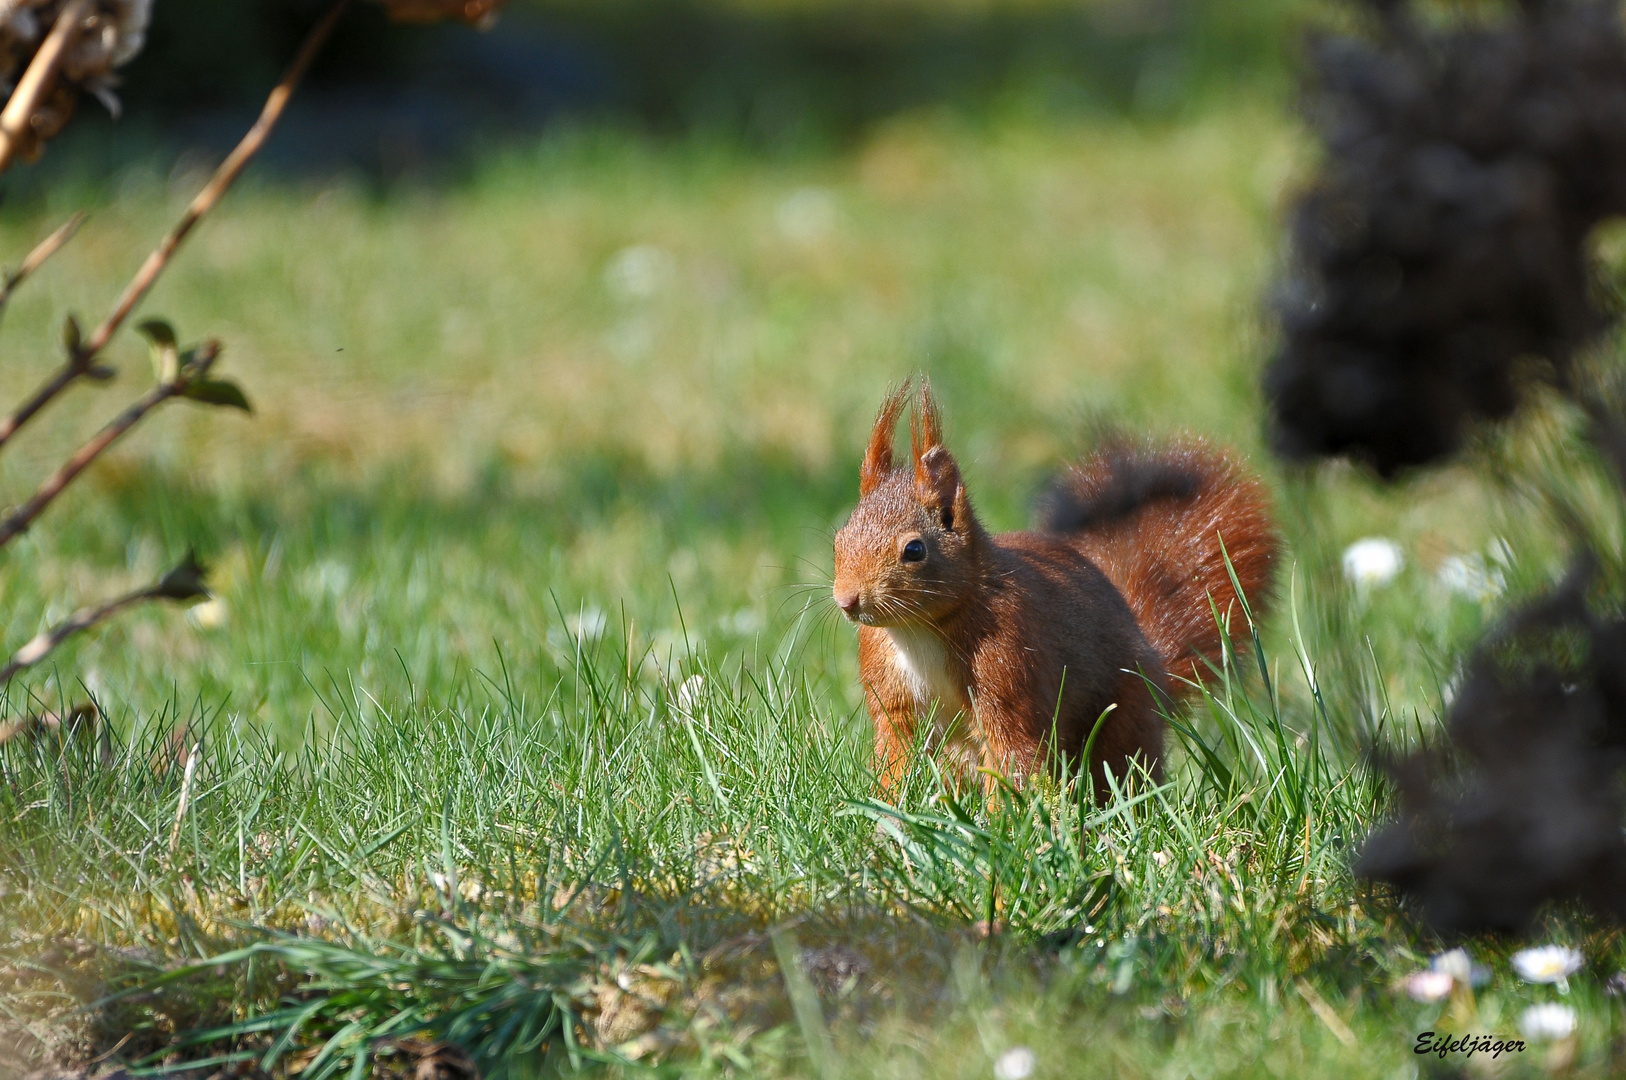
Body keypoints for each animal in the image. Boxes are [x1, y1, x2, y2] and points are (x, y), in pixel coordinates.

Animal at [832, 378, 1274, 793]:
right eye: (839, 538)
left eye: (914, 549)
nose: (847, 600)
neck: (918, 630)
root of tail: (1158, 674)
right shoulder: (892, 697)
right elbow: (897, 754)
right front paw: (887, 810)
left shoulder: (1007, 666)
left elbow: (1013, 751)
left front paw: (1004, 818)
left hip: (1122, 719)